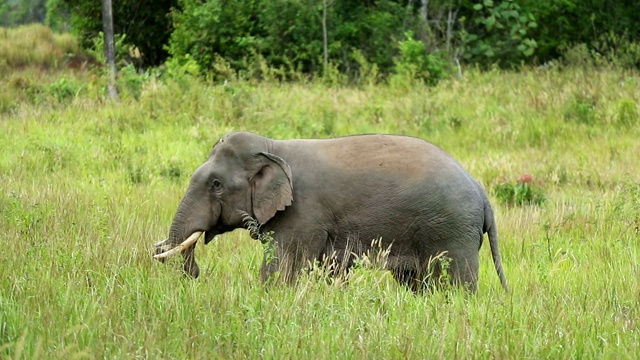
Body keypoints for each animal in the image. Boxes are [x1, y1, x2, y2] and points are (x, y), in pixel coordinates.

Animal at [152, 131, 508, 292]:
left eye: (216, 184)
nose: (195, 273)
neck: (273, 146)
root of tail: (482, 194)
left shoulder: (302, 214)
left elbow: (282, 268)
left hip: (451, 230)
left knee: (452, 283)